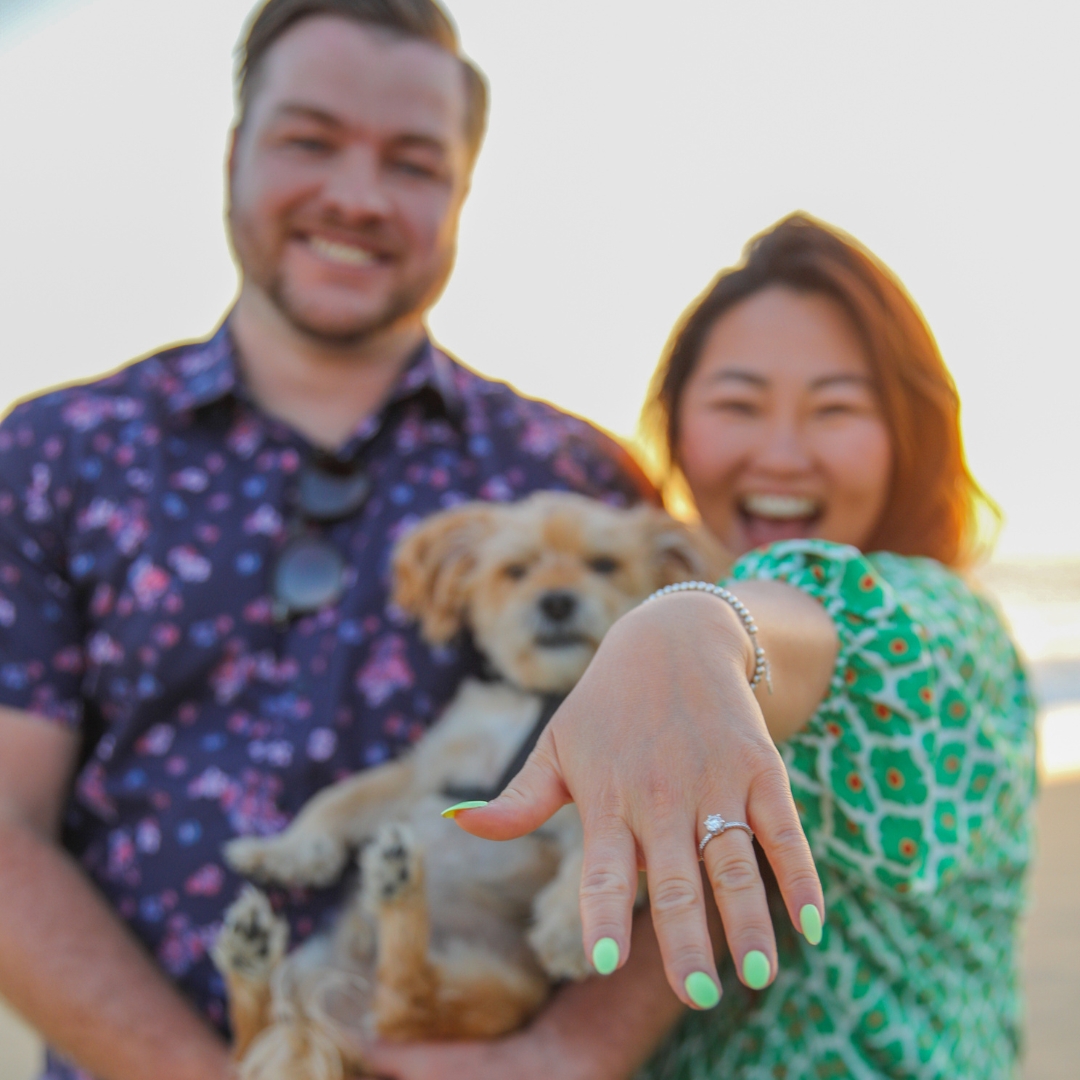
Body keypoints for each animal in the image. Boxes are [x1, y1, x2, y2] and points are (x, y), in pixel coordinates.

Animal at [212, 492, 725, 1080]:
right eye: (516, 571)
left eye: (603, 565)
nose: (556, 602)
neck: (549, 701)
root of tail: (338, 1029)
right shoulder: (426, 774)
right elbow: (341, 798)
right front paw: (288, 850)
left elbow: (604, 861)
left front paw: (567, 929)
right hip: (312, 973)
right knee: (256, 1034)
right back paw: (258, 950)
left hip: (492, 989)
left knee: (406, 1002)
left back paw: (396, 892)